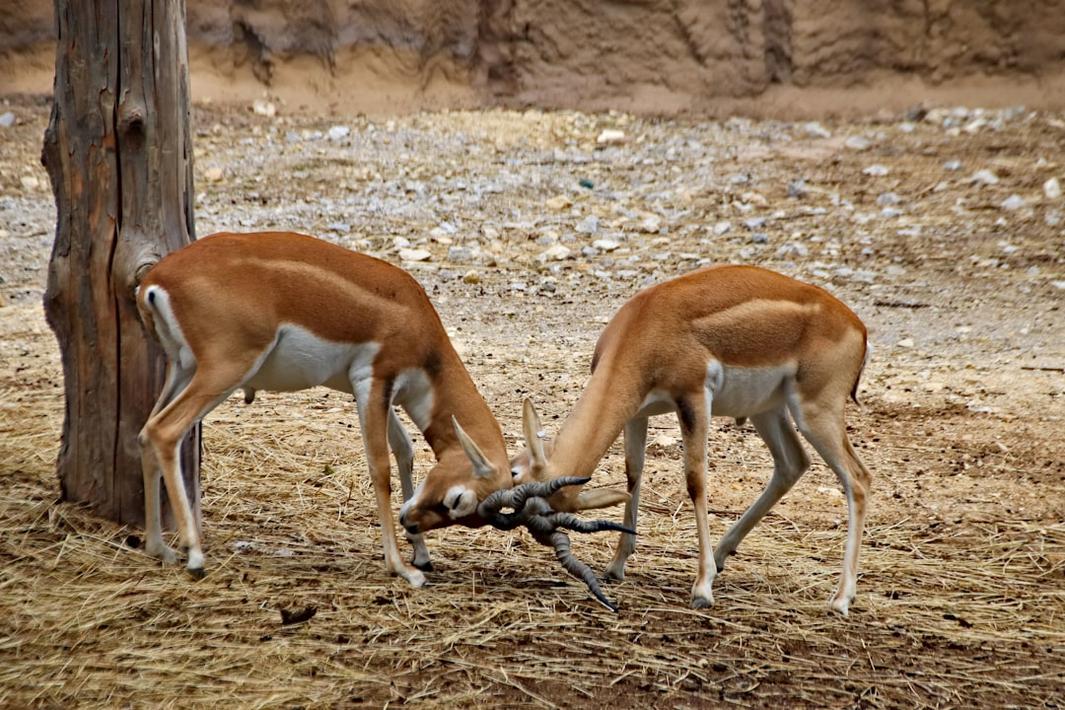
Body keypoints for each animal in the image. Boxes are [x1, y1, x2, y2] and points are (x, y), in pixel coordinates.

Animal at [135, 231, 516, 585]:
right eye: (458, 500)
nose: (409, 521)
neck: (416, 320)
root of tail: (155, 279)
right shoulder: (372, 380)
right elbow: (379, 466)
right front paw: (402, 568)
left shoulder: (383, 392)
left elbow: (404, 450)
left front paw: (421, 555)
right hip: (225, 369)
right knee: (164, 431)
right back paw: (194, 556)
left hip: (182, 368)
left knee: (144, 433)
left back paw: (159, 548)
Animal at [509, 265, 871, 614]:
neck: (644, 326)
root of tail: (857, 326)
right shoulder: (636, 412)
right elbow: (633, 475)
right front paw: (616, 565)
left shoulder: (694, 398)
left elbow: (695, 481)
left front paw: (702, 588)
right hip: (767, 409)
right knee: (793, 464)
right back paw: (724, 553)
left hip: (814, 412)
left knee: (858, 479)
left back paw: (841, 599)